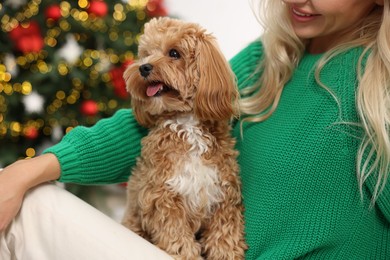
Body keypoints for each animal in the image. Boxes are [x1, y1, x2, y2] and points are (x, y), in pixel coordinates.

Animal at [122, 17, 245, 258]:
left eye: (174, 53)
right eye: (146, 54)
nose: (143, 67)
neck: (187, 125)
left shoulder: (224, 197)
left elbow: (224, 238)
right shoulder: (162, 199)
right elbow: (177, 239)